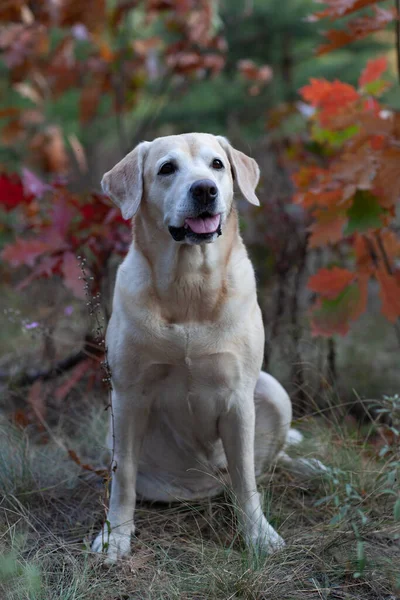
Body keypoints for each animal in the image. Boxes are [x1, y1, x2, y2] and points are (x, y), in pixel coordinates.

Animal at [94, 132, 294, 564]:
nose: (205, 189)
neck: (190, 286)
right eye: (167, 168)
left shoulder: (239, 398)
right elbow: (124, 476)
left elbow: (246, 477)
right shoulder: (128, 397)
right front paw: (115, 536)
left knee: (256, 470)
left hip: (273, 390)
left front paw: (259, 536)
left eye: (217, 164)